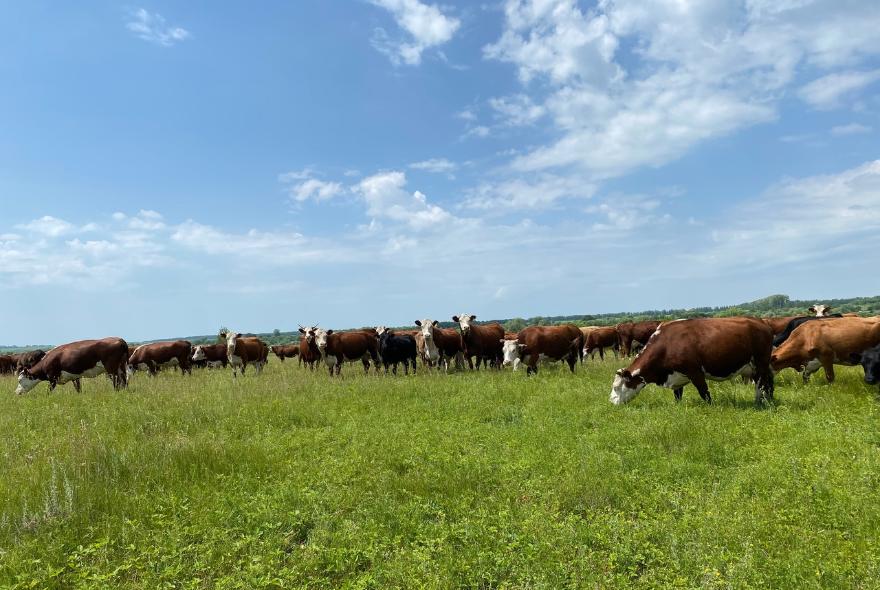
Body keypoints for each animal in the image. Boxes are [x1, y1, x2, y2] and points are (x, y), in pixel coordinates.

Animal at [608, 320, 772, 408]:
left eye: (616, 388)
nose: (611, 402)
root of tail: (761, 322)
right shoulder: (676, 376)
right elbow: (677, 394)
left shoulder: (695, 372)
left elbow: (704, 392)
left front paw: (711, 407)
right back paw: (767, 399)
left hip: (760, 363)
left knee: (761, 383)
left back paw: (759, 402)